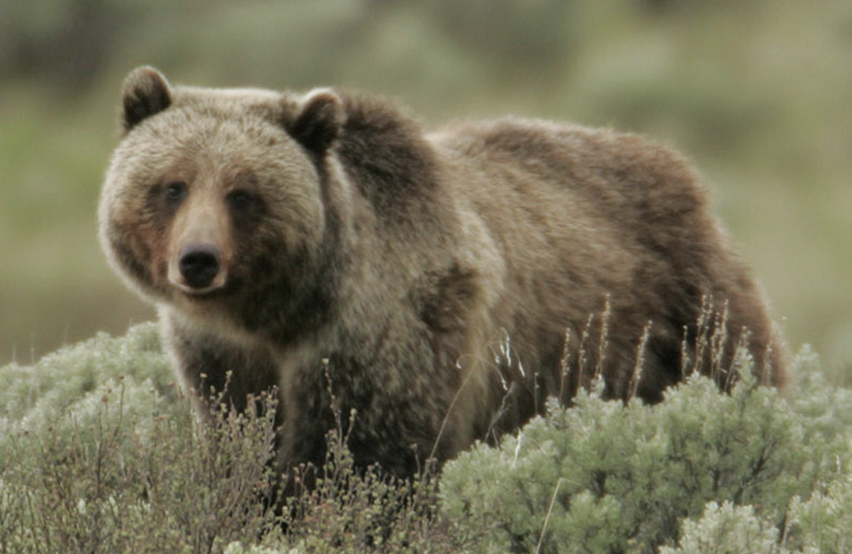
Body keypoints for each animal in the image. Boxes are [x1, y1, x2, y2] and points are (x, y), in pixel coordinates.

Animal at [99, 66, 785, 481]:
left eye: (243, 194)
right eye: (172, 186)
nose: (198, 260)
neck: (280, 311)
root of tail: (683, 172)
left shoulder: (389, 332)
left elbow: (368, 456)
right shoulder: (223, 358)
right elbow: (244, 437)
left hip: (679, 317)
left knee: (732, 368)